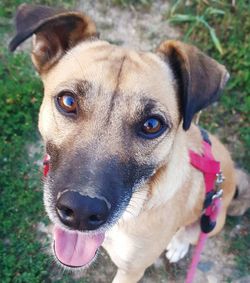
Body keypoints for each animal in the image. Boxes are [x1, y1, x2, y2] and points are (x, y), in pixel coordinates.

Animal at [8, 4, 249, 283]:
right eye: (68, 101)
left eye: (152, 125)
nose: (81, 211)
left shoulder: (132, 270)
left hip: (213, 221)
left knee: (193, 233)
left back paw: (179, 243)